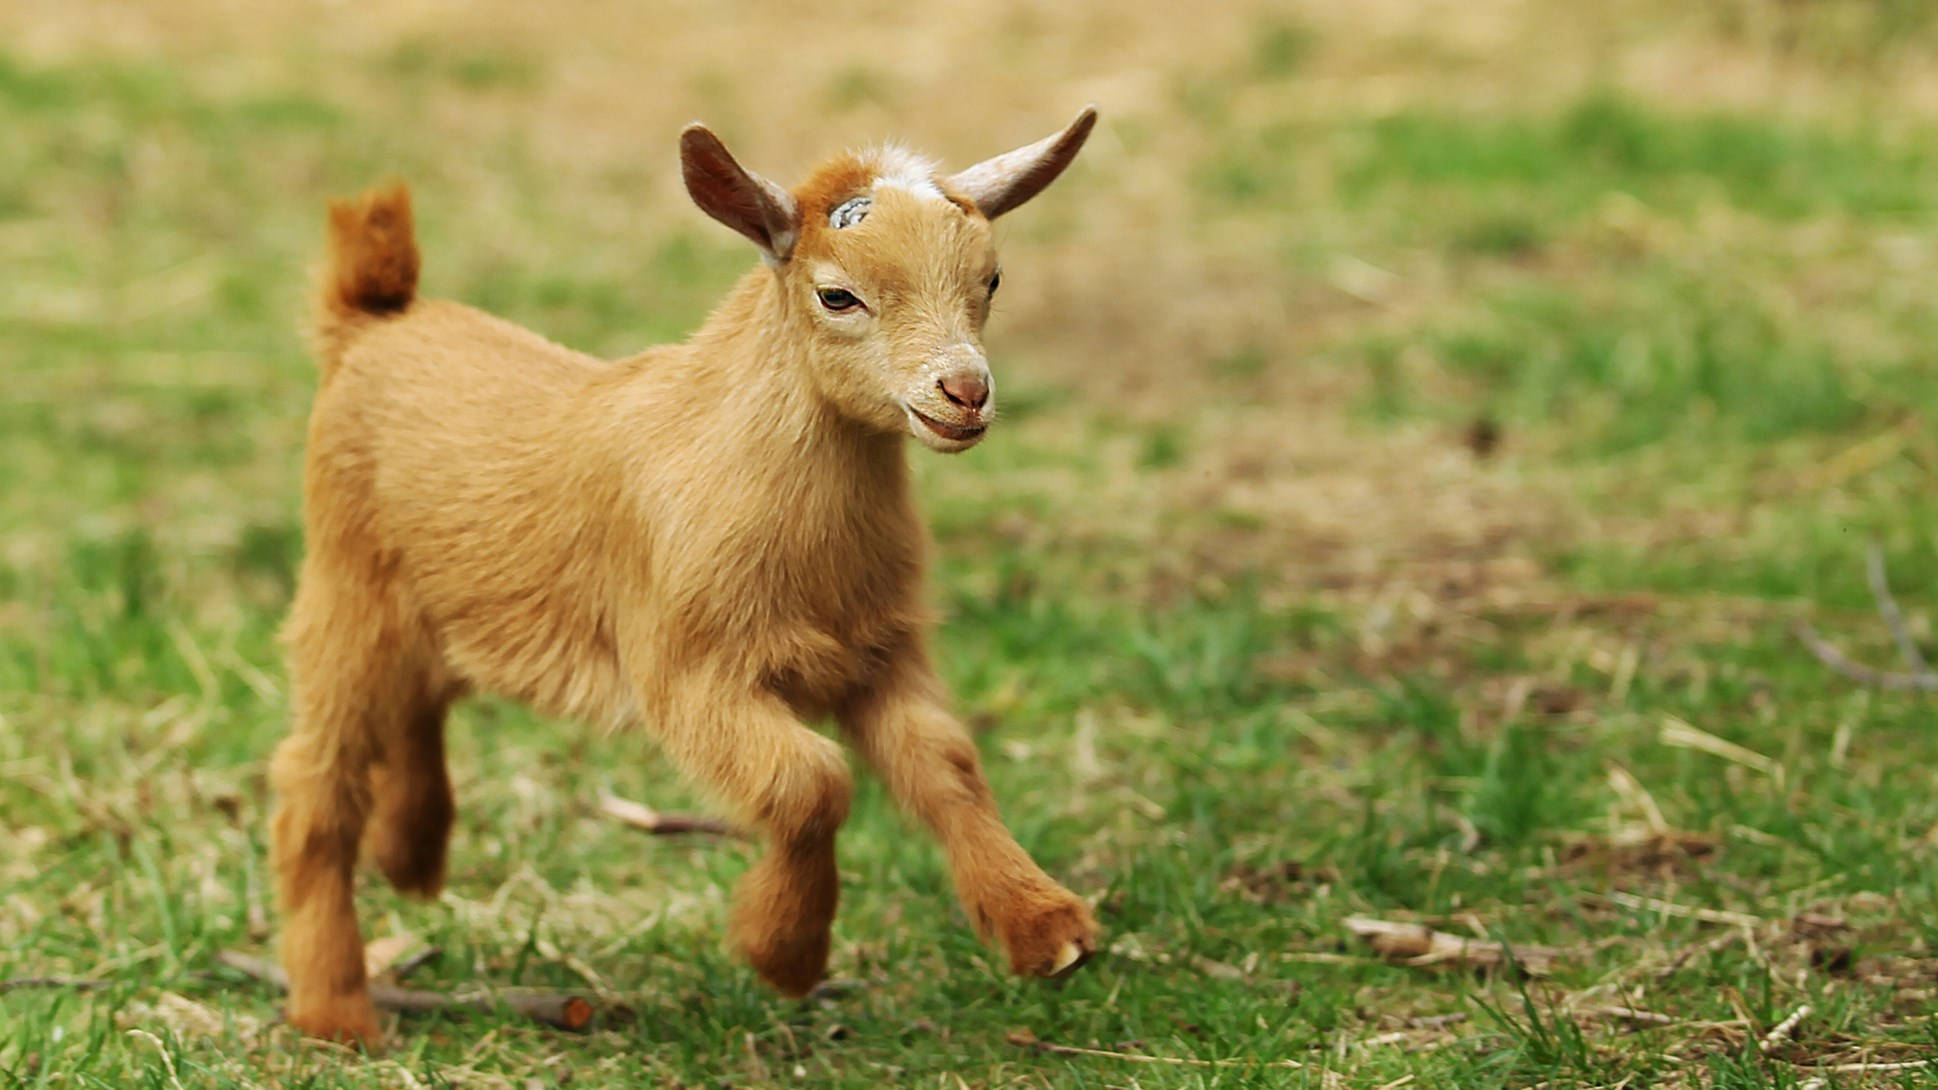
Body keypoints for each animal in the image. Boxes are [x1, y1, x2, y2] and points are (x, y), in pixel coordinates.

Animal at [268, 108, 1101, 1046]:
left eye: (991, 279)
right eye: (837, 294)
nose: (964, 391)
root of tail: (370, 321)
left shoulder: (879, 655)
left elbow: (945, 764)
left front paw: (1047, 929)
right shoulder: (687, 669)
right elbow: (811, 781)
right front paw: (785, 954)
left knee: (418, 703)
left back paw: (410, 857)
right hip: (343, 596)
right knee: (312, 785)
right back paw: (336, 1009)